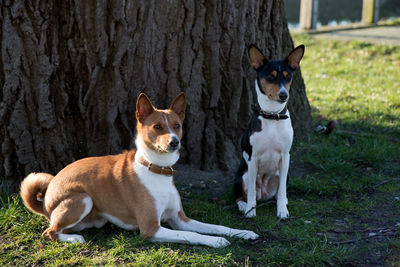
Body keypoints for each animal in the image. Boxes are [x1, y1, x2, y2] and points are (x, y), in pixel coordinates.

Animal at [20, 93, 258, 248]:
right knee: (49, 232)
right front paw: (216, 241)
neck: (158, 171)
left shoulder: (180, 218)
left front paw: (243, 232)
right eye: (157, 127)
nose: (174, 142)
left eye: (177, 125)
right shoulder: (151, 229)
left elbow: (216, 226)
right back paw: (74, 240)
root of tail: (45, 200)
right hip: (82, 198)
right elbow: (190, 235)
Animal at [233, 44, 304, 219]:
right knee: (240, 195)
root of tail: (264, 192)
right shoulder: (252, 159)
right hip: (243, 175)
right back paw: (243, 206)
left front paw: (282, 210)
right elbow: (251, 191)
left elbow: (282, 190)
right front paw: (251, 211)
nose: (283, 95)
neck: (273, 116)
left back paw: (282, 201)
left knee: (279, 192)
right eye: (270, 77)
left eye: (287, 77)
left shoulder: (285, 158)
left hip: (281, 174)